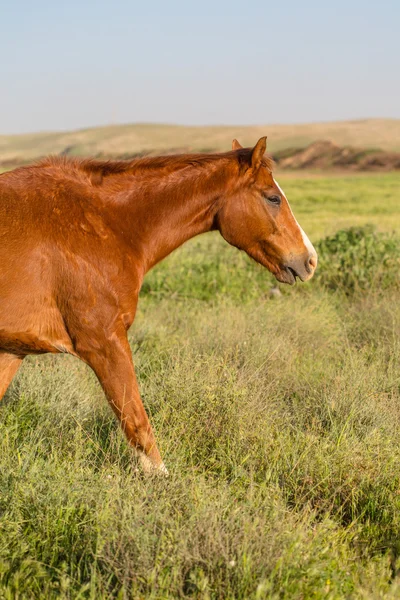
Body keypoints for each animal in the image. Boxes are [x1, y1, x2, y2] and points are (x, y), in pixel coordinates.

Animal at [0, 136, 318, 474]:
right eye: (273, 198)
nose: (310, 259)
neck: (103, 226)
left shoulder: (13, 349)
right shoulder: (104, 343)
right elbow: (138, 423)